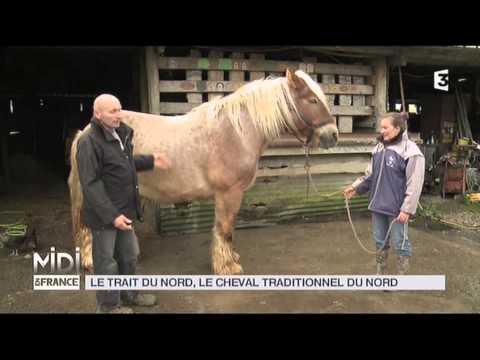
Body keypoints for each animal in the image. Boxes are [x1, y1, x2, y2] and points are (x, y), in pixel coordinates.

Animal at [67, 68, 338, 276]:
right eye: (313, 101)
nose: (332, 135)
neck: (236, 132)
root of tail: (84, 133)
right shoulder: (229, 194)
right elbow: (224, 230)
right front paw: (227, 266)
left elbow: (227, 230)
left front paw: (230, 260)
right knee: (87, 226)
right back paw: (92, 262)